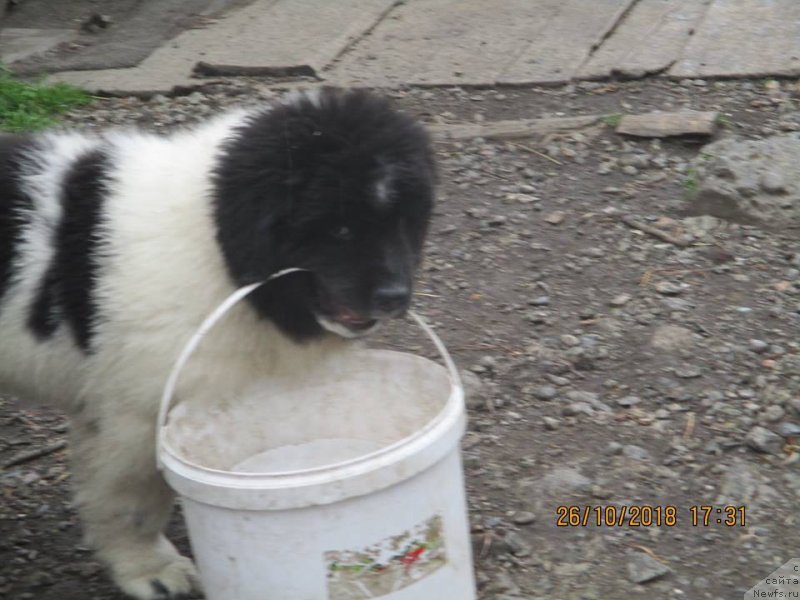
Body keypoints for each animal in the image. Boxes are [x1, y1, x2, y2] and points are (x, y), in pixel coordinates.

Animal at [0, 86, 434, 596]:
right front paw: (150, 570)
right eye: (340, 228)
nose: (396, 297)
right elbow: (131, 500)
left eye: (403, 224)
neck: (216, 242)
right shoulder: (133, 416)